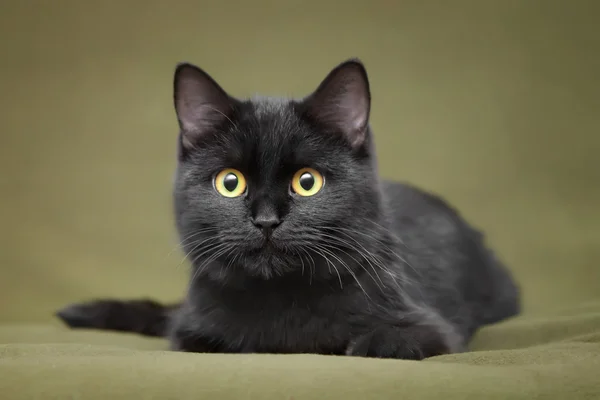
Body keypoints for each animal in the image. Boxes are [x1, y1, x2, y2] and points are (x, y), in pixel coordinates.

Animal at [58, 58, 524, 360]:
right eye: (230, 182)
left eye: (307, 181)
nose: (266, 220)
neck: (282, 305)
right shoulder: (192, 330)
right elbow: (214, 341)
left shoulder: (433, 328)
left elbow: (393, 342)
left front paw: (367, 342)